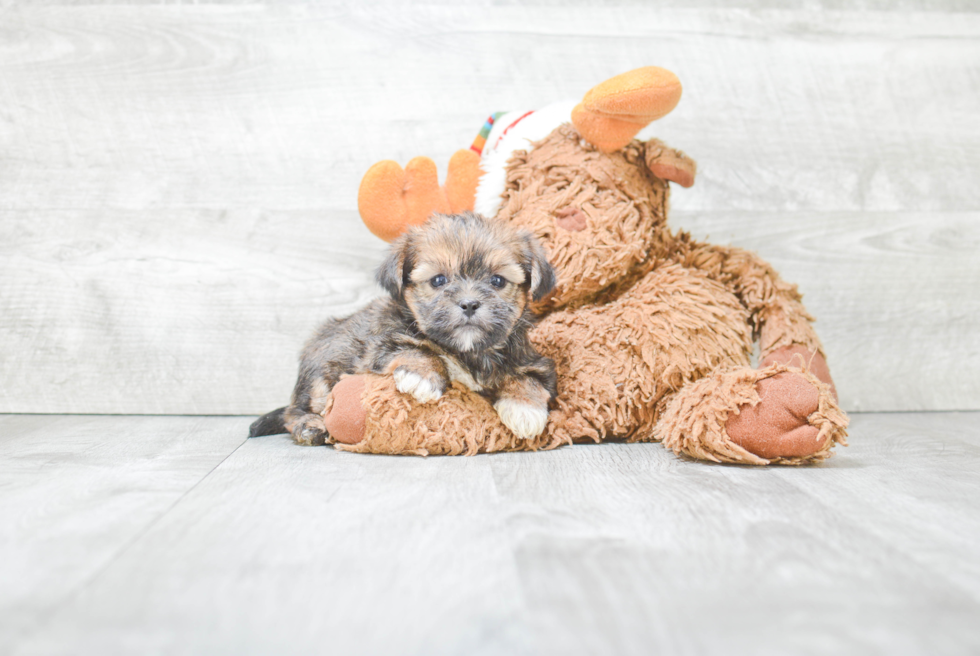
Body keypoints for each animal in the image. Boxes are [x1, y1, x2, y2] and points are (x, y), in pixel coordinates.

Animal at [251, 213, 560, 448]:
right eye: (438, 280)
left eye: (497, 280)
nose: (469, 303)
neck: (466, 351)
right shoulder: (380, 343)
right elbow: (412, 347)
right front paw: (423, 376)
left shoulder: (530, 359)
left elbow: (529, 378)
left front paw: (525, 408)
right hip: (321, 373)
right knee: (294, 411)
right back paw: (310, 426)